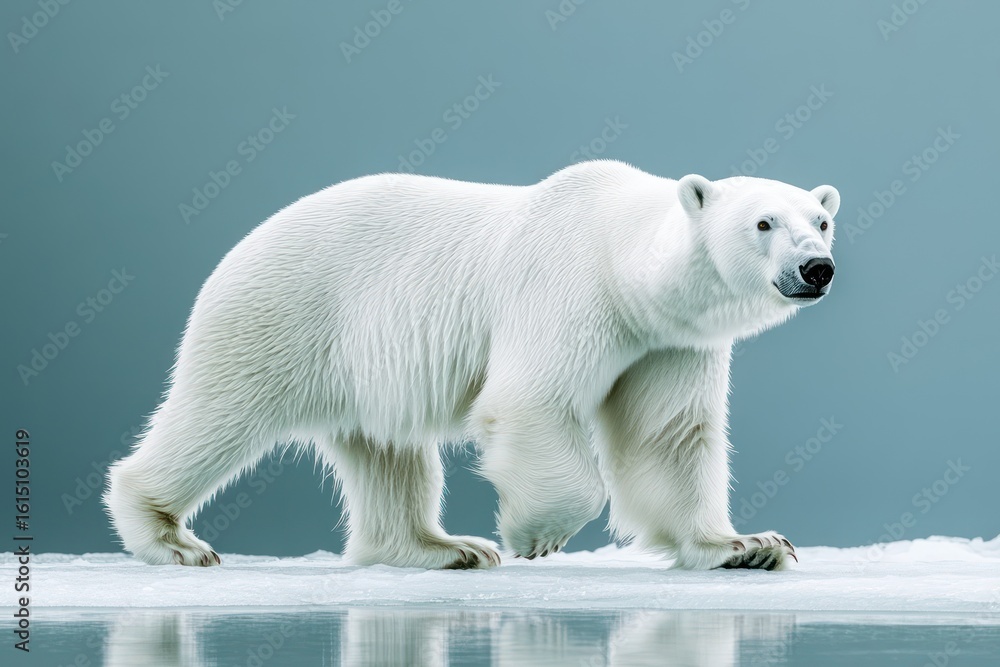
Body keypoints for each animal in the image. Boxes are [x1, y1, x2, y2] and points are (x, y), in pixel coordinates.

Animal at [104, 160, 839, 571]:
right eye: (764, 223)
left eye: (821, 220)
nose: (816, 268)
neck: (620, 257)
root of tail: (245, 242)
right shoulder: (568, 292)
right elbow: (532, 400)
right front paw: (533, 534)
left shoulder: (667, 342)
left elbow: (668, 437)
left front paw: (748, 544)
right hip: (282, 314)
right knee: (219, 413)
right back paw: (171, 538)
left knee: (387, 450)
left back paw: (441, 548)